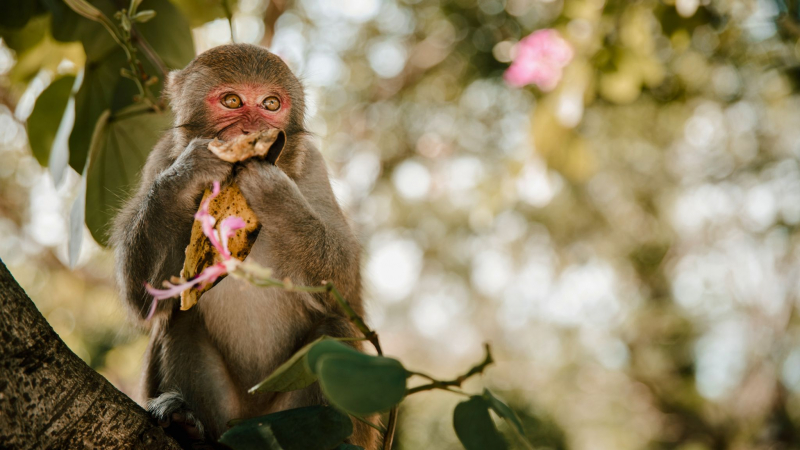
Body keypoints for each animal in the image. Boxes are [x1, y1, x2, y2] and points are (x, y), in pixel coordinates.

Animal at [111, 44, 379, 449]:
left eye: (270, 104)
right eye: (232, 101)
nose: (252, 131)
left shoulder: (312, 165)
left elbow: (344, 285)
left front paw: (274, 192)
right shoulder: (160, 157)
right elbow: (144, 297)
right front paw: (190, 171)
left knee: (336, 330)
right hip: (228, 416)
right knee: (180, 318)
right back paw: (188, 427)